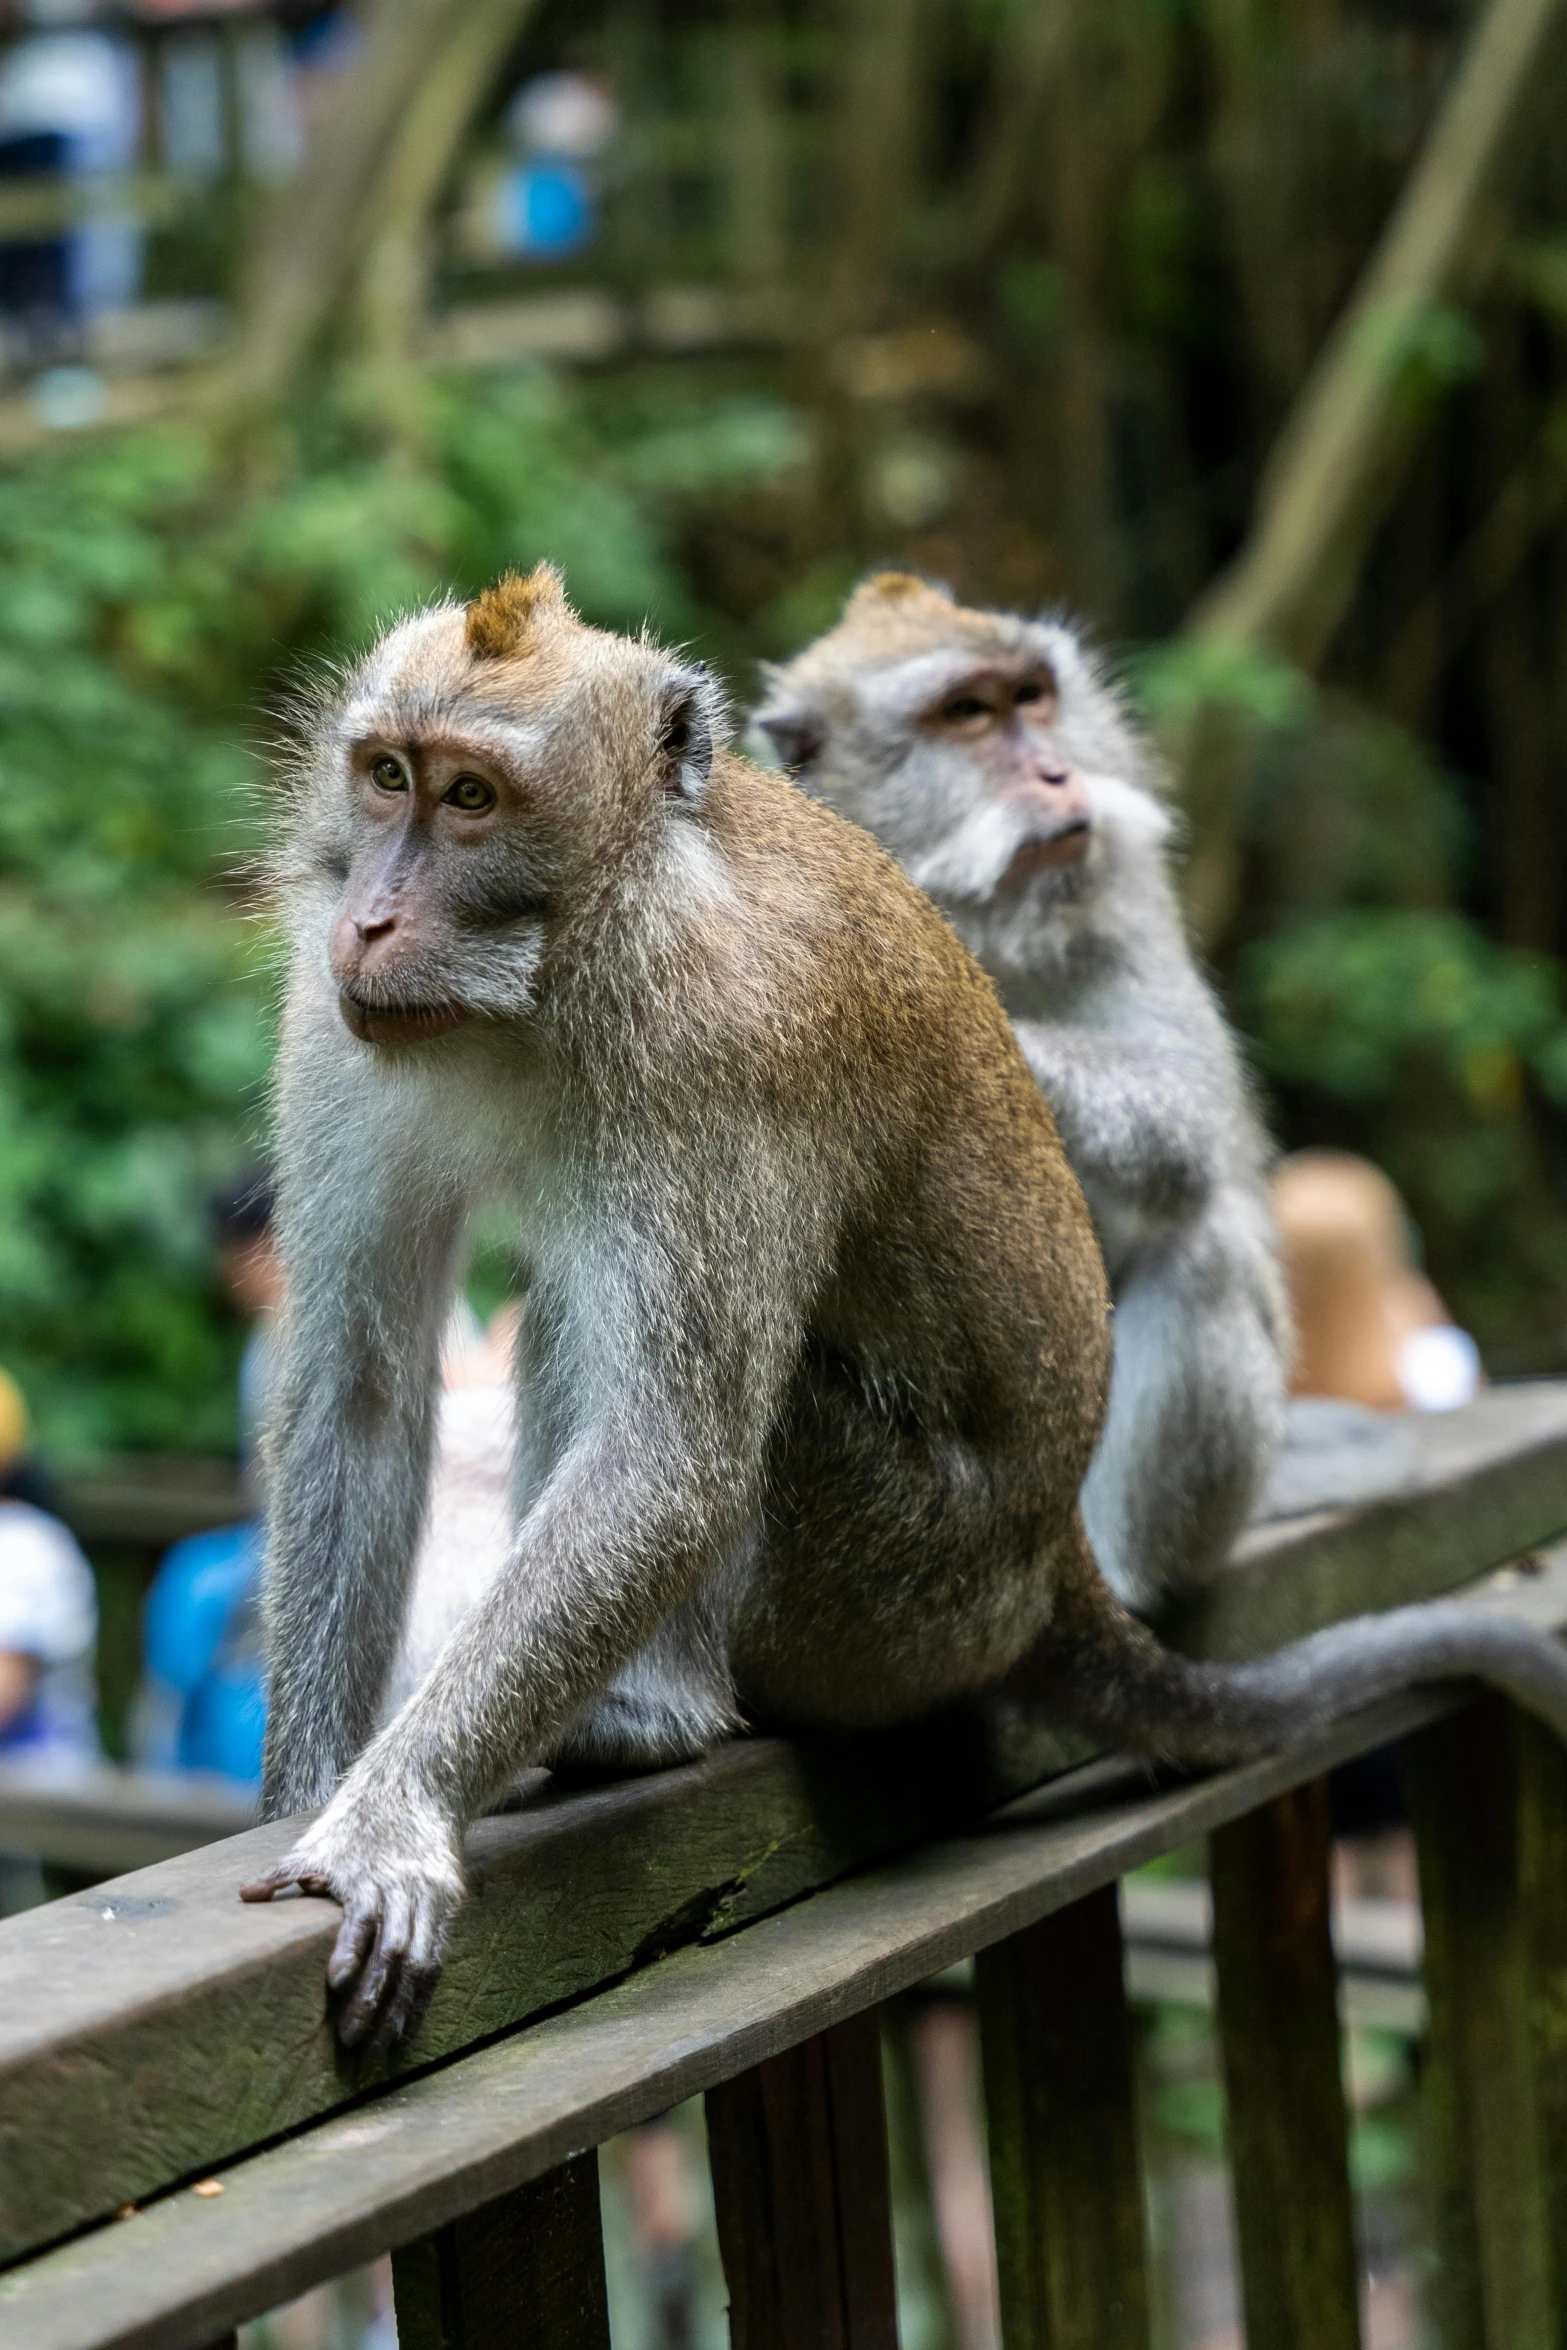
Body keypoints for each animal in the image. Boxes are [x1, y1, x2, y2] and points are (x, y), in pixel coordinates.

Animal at [756, 564, 1287, 1616]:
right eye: (967, 713)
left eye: (1031, 696)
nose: (1053, 774)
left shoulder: (1116, 886)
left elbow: (1186, 1112)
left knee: (1201, 1246)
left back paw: (1121, 1579)